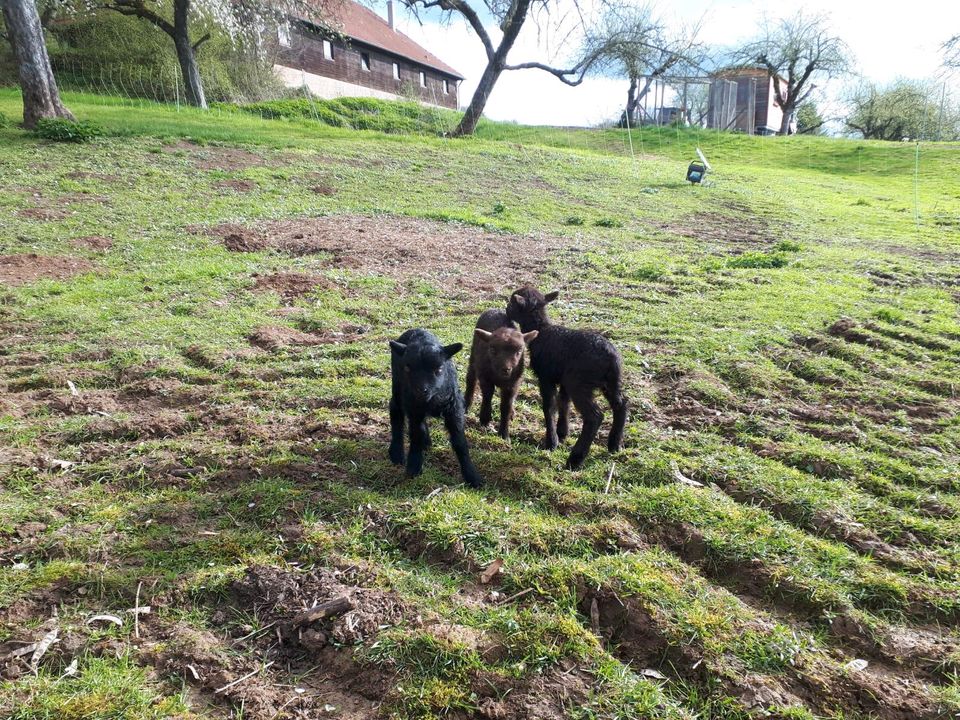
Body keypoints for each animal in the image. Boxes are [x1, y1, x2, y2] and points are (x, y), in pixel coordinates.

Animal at [388, 328, 484, 490]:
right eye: (407, 368)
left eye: (439, 369)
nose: (422, 390)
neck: (432, 400)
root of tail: (415, 329)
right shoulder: (413, 406)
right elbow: (416, 435)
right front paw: (414, 466)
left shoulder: (454, 409)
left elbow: (460, 442)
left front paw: (472, 476)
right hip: (398, 387)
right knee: (395, 410)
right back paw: (396, 452)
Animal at [506, 286, 628, 472]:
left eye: (513, 302)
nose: (506, 309)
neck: (541, 331)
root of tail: (611, 358)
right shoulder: (563, 380)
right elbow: (564, 403)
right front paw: (562, 432)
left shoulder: (546, 377)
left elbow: (549, 407)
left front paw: (552, 442)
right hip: (611, 382)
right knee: (621, 404)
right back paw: (614, 445)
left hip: (579, 382)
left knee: (595, 416)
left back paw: (575, 460)